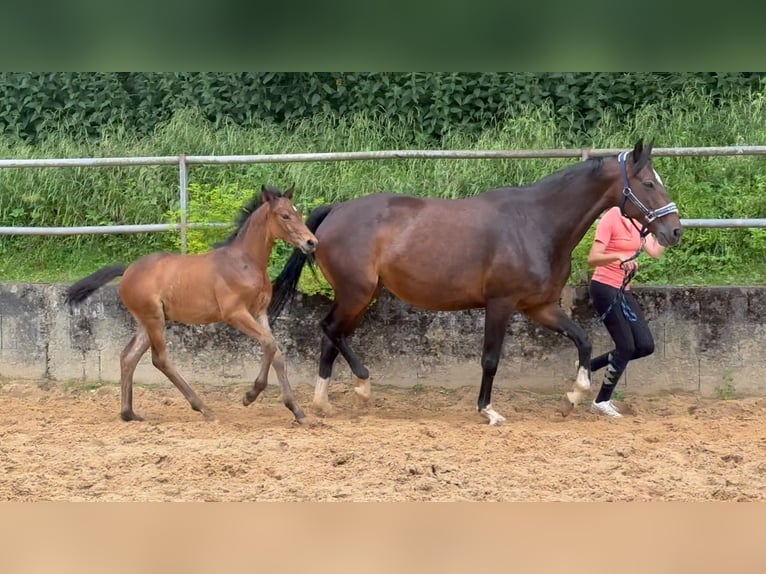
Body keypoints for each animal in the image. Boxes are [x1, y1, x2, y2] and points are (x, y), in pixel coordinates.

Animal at [64, 187, 320, 426]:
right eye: (285, 215)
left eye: (298, 213)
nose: (312, 242)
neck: (245, 262)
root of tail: (128, 270)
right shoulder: (235, 313)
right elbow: (268, 343)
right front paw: (250, 395)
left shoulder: (260, 312)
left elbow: (276, 351)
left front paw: (297, 411)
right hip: (154, 319)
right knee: (160, 359)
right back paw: (203, 408)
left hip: (148, 321)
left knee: (129, 356)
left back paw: (129, 413)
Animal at [268, 142, 684, 426]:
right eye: (649, 183)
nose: (675, 231)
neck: (537, 223)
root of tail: (334, 211)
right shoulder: (501, 303)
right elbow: (490, 358)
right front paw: (489, 411)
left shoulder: (540, 307)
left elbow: (583, 340)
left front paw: (574, 396)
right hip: (357, 293)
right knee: (330, 329)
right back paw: (361, 386)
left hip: (363, 295)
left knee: (331, 335)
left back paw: (324, 403)